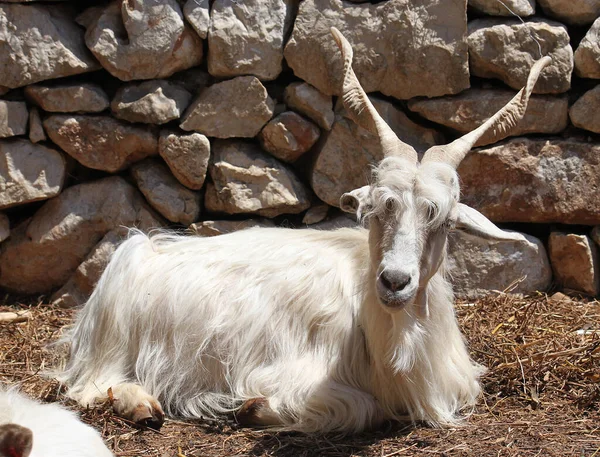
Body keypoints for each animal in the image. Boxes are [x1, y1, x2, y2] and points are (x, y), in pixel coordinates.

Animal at [58, 29, 552, 432]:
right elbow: (362, 408)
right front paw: (250, 408)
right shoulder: (285, 371)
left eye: (444, 220)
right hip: (115, 335)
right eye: (377, 210)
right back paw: (142, 404)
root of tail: (146, 248)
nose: (394, 281)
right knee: (90, 385)